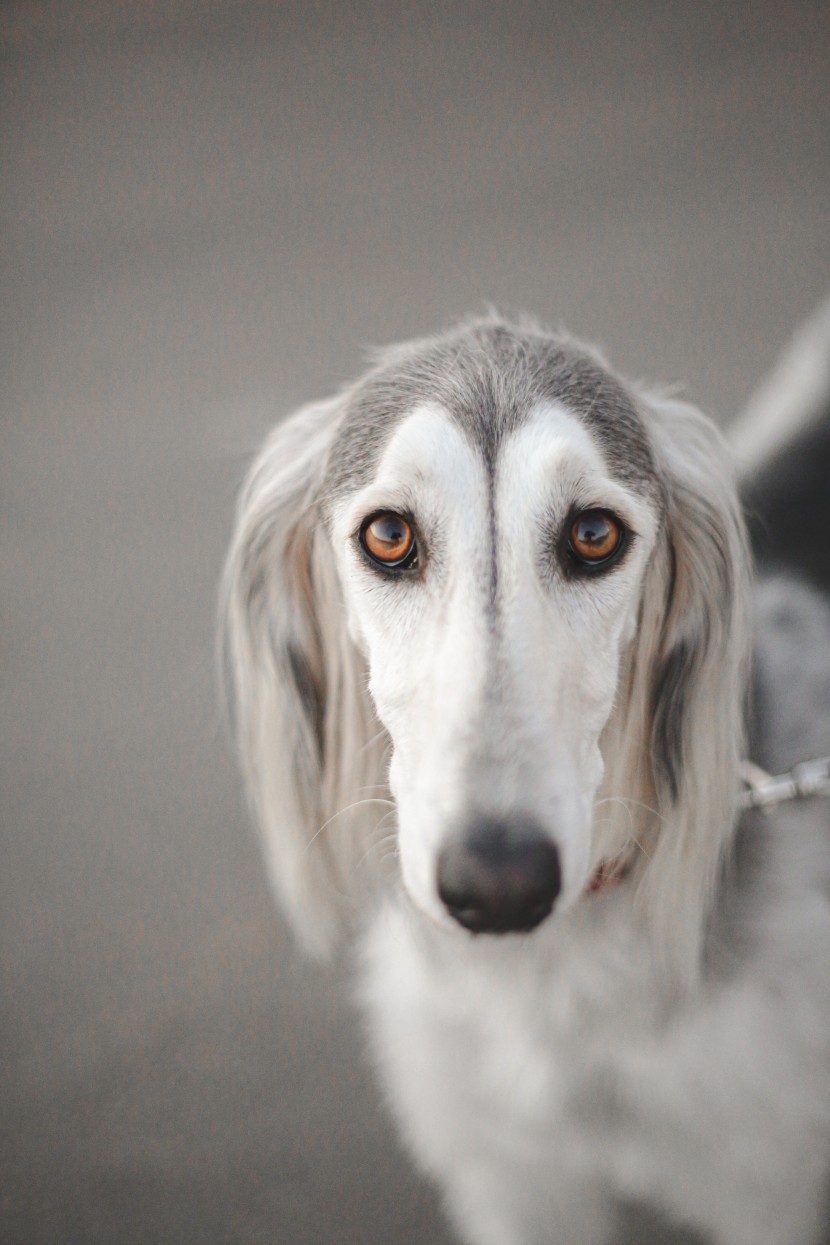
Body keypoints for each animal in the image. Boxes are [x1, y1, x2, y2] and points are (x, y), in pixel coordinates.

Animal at [220, 313, 830, 1245]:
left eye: (594, 534)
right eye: (388, 535)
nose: (498, 884)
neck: (549, 981)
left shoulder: (769, 1180)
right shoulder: (511, 1178)